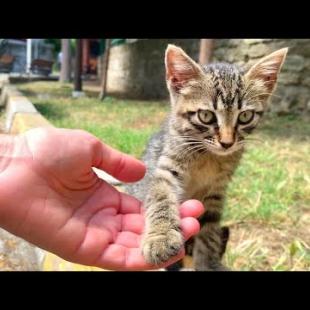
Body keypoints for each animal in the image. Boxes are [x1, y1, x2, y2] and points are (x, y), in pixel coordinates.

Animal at [124, 44, 286, 272]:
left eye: (245, 116)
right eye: (206, 116)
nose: (227, 143)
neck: (208, 156)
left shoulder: (216, 191)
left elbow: (209, 231)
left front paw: (209, 263)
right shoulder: (167, 167)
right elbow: (161, 198)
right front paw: (161, 238)